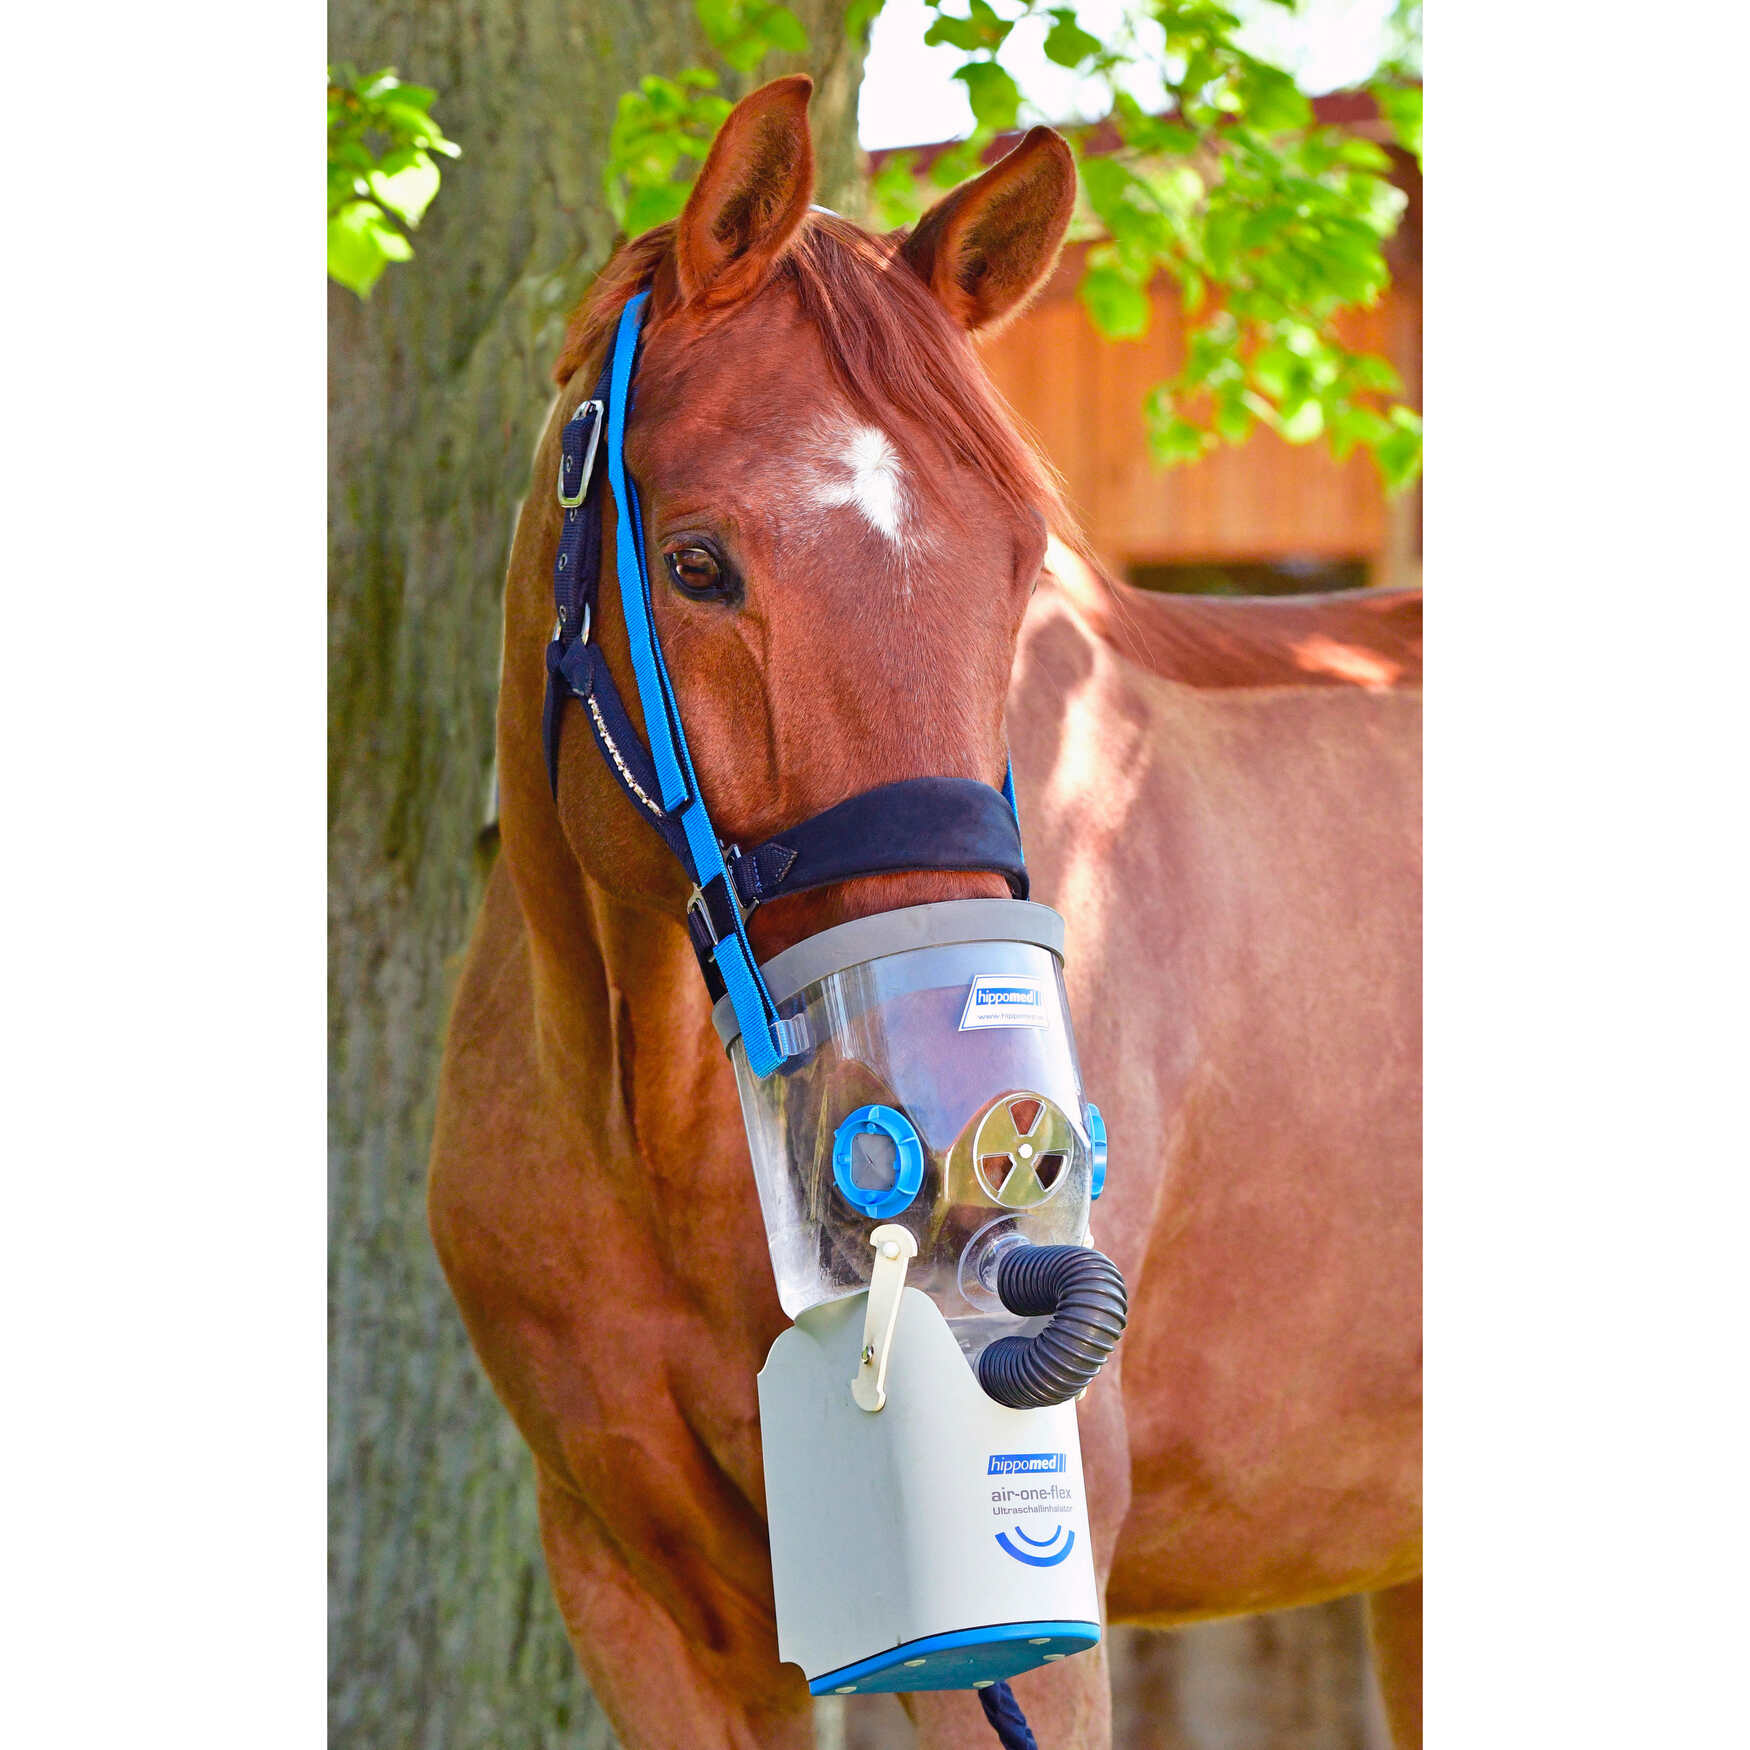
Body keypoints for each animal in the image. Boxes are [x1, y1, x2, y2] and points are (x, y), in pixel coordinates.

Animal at [430, 73, 1421, 1750]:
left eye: (1016, 572)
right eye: (696, 563)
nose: (987, 1130)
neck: (648, 1124)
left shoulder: (1015, 1619)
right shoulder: (647, 1598)